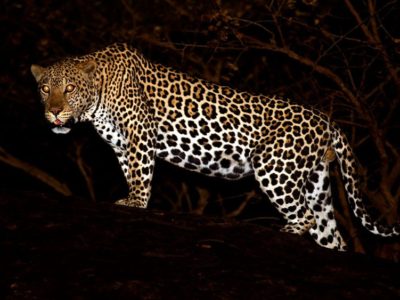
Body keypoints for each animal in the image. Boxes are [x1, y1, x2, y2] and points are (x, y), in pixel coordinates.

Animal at [30, 42, 396, 251]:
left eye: (70, 88)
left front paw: (134, 203)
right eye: (46, 88)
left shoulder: (139, 135)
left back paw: (285, 232)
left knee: (302, 215)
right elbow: (131, 172)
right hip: (315, 181)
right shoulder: (121, 144)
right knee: (331, 234)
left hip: (275, 168)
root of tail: (326, 119)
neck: (98, 94)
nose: (54, 111)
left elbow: (140, 176)